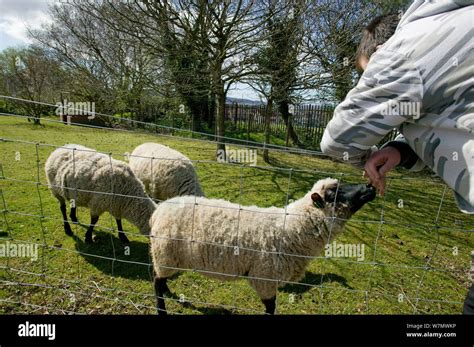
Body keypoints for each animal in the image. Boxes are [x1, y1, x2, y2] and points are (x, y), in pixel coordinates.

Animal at [150, 178, 376, 316]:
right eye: (333, 193)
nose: (369, 187)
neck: (293, 228)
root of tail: (160, 209)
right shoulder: (264, 277)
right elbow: (271, 307)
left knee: (161, 280)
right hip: (165, 253)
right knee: (156, 282)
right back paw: (162, 309)